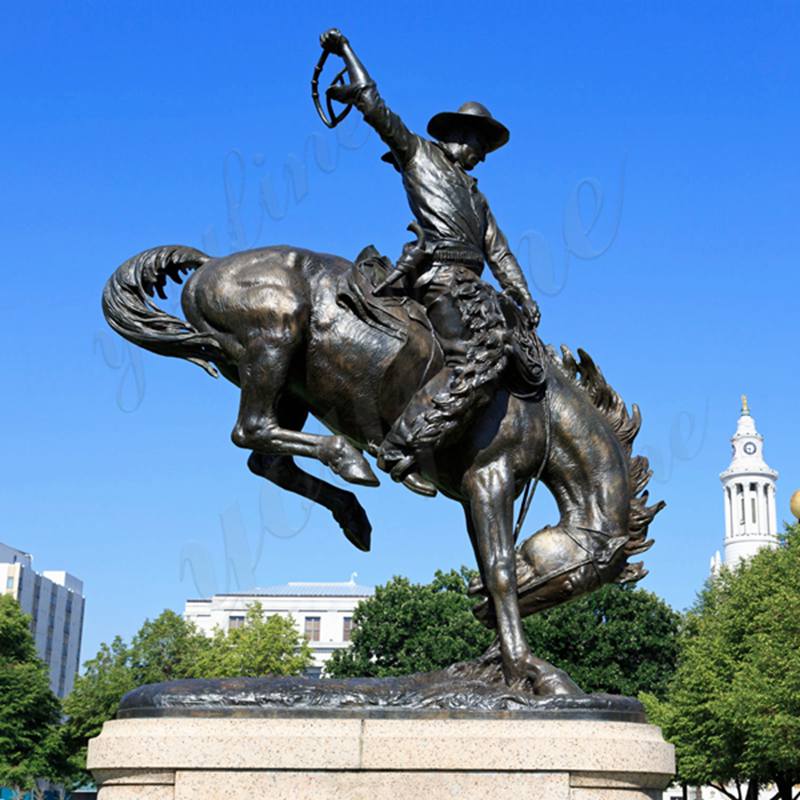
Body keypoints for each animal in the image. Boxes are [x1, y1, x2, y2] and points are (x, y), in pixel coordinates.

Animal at [101, 242, 664, 692]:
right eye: (571, 585)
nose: (476, 611)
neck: (540, 406)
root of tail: (210, 263)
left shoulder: (471, 492)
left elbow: (487, 564)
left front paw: (499, 663)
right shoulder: (491, 477)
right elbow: (501, 571)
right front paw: (531, 670)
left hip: (289, 386)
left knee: (266, 458)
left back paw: (354, 515)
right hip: (274, 340)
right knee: (252, 430)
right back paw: (351, 461)